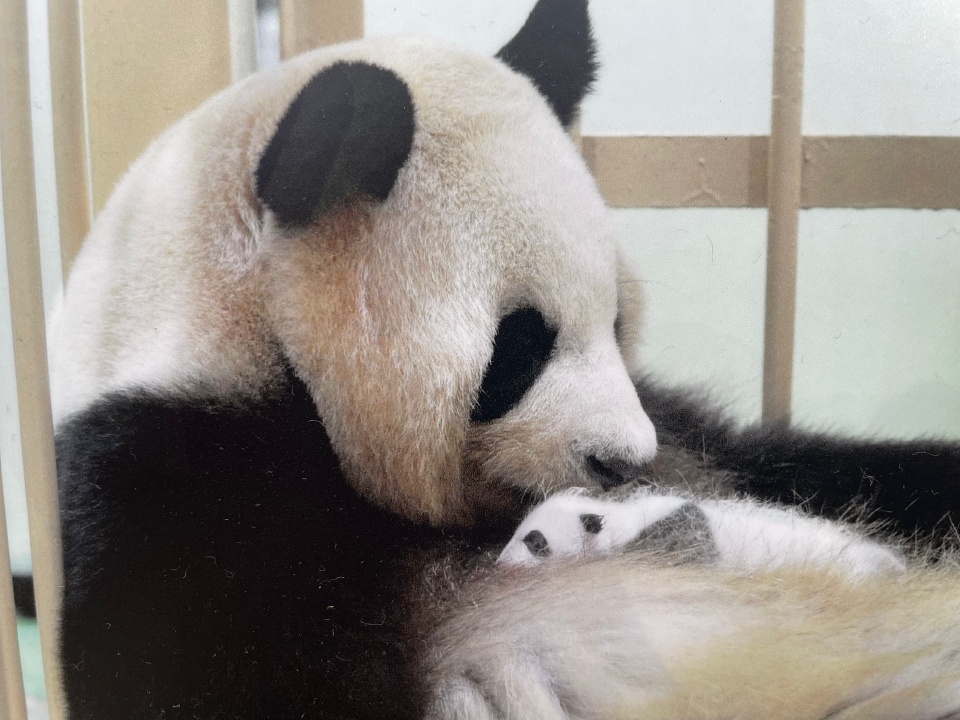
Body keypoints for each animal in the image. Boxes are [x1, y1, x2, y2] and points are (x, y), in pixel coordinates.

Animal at [49, 0, 960, 718]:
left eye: (617, 319)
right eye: (520, 349)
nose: (625, 462)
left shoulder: (691, 432)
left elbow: (788, 457)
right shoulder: (175, 486)